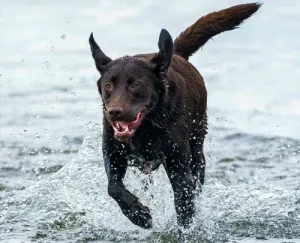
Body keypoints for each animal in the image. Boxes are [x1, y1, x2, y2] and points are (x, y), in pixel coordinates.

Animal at [88, 1, 260, 230]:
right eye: (108, 85)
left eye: (135, 85)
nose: (114, 112)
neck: (147, 128)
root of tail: (174, 54)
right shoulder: (113, 154)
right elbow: (113, 187)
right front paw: (138, 214)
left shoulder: (180, 170)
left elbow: (184, 207)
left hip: (197, 150)